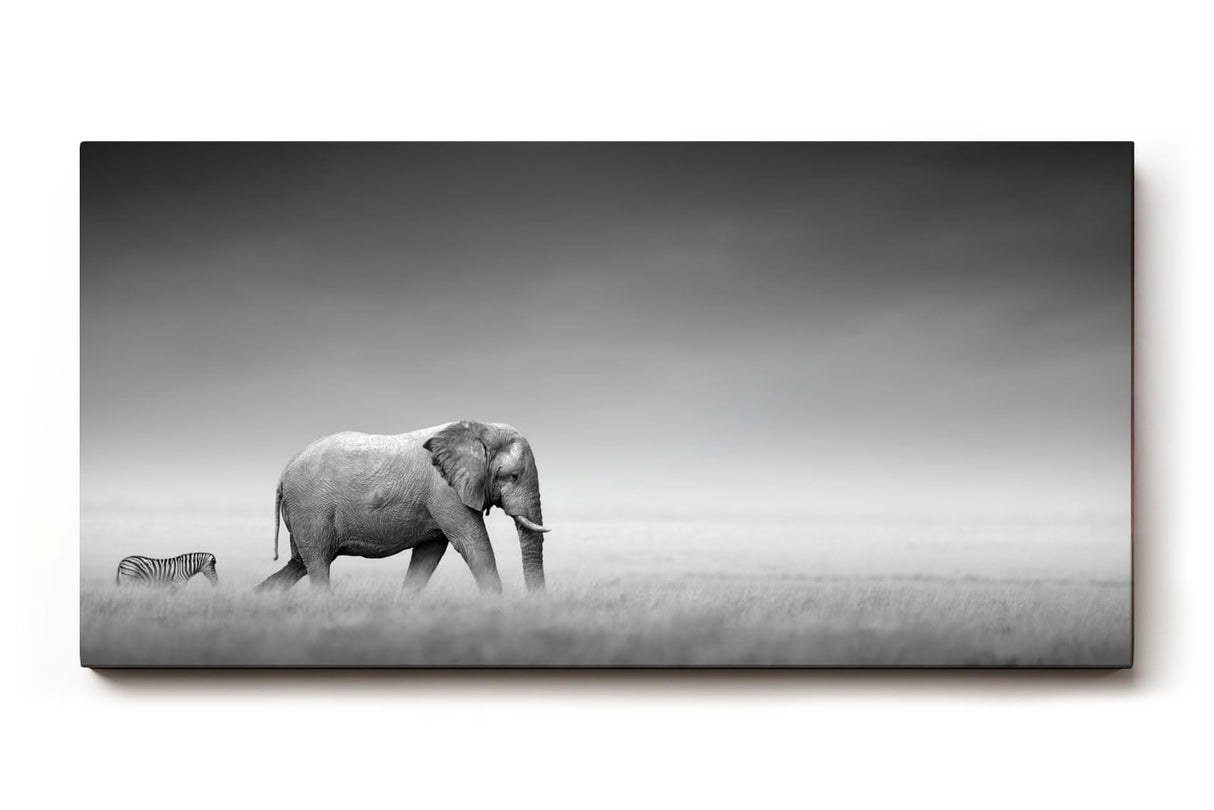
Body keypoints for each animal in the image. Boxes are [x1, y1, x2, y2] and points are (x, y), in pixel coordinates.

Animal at [254, 420, 550, 594]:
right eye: (512, 476)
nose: (533, 605)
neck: (479, 429)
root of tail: (285, 470)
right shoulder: (444, 491)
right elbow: (473, 544)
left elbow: (428, 555)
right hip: (310, 508)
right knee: (317, 562)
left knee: (299, 563)